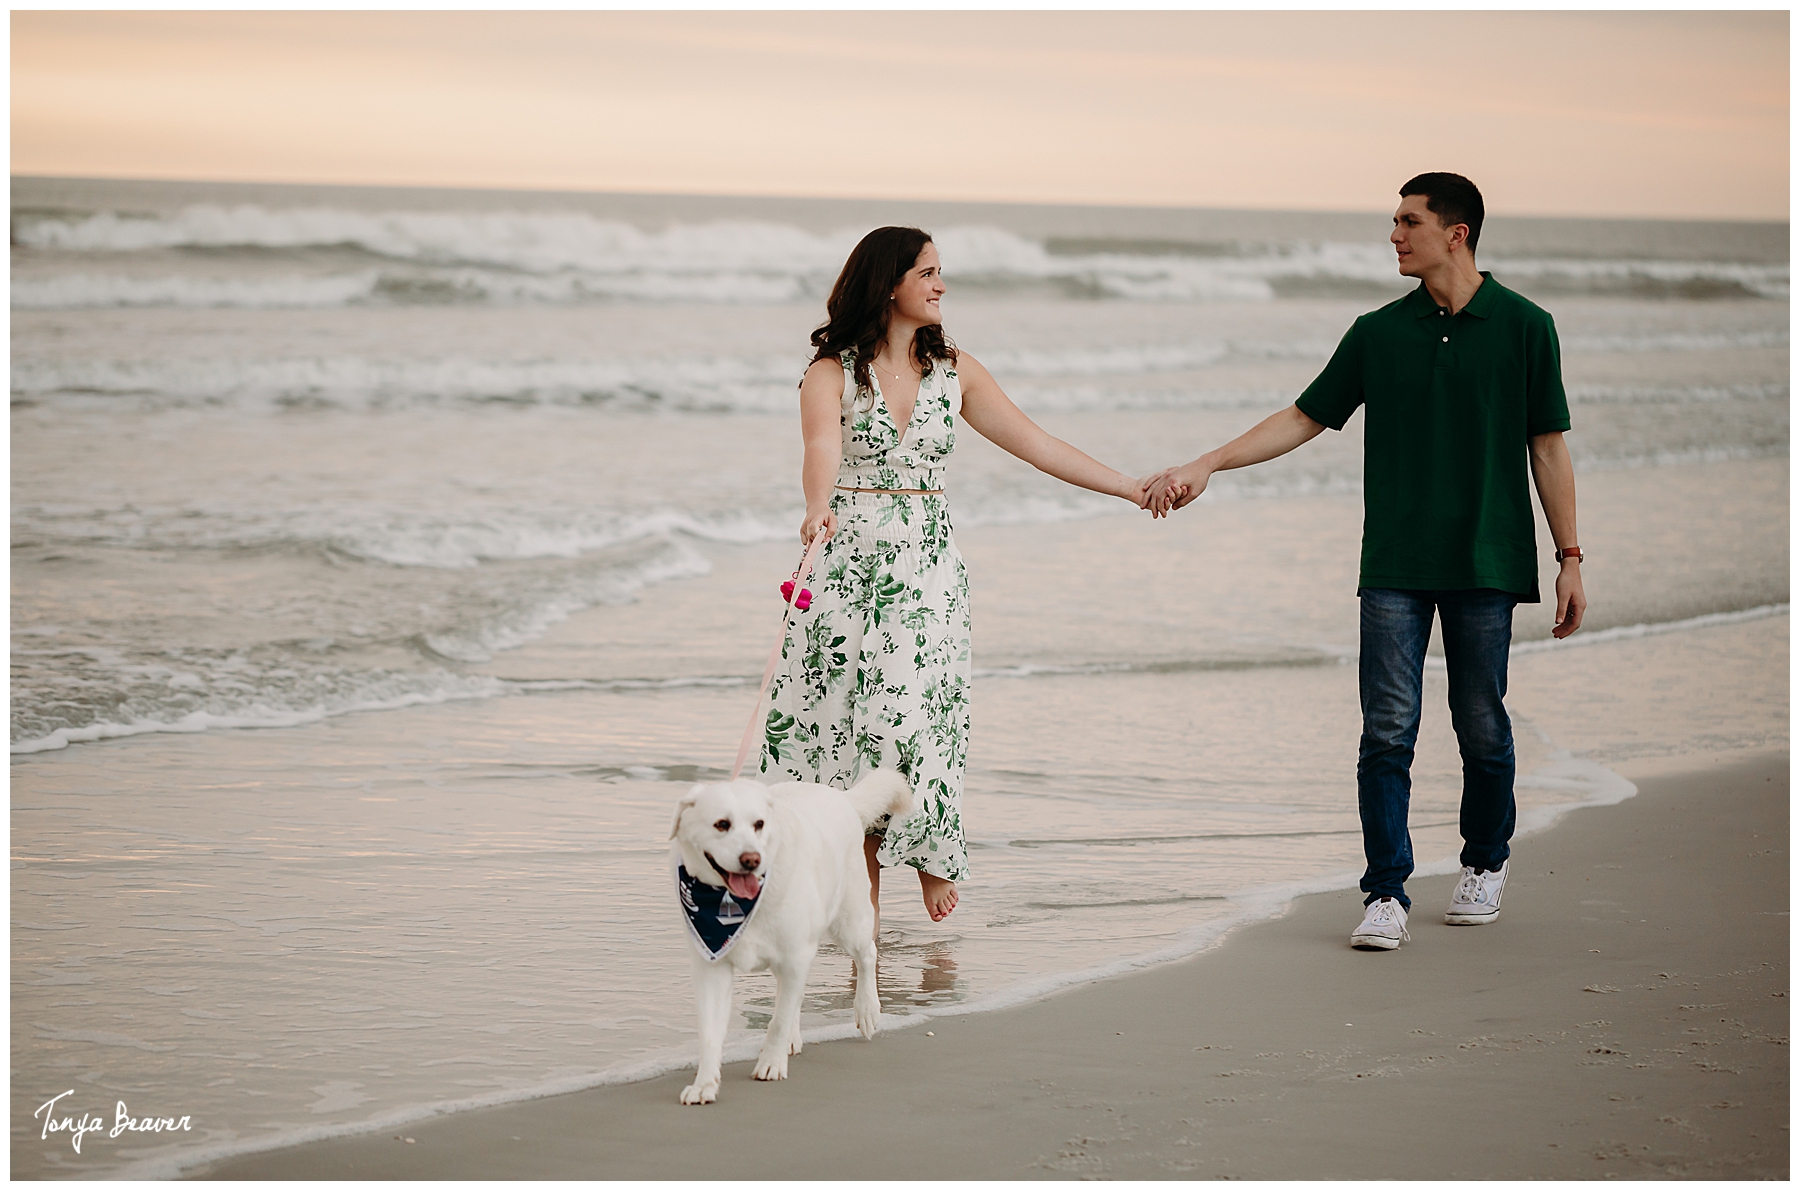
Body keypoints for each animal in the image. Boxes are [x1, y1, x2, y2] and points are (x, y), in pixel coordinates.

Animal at [669, 770, 914, 1108]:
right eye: (721, 824)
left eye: (759, 824)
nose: (752, 859)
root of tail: (842, 797)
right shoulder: (712, 965)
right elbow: (710, 1033)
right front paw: (704, 1084)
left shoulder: (796, 956)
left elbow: (779, 1020)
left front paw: (771, 1064)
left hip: (849, 923)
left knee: (867, 956)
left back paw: (866, 1009)